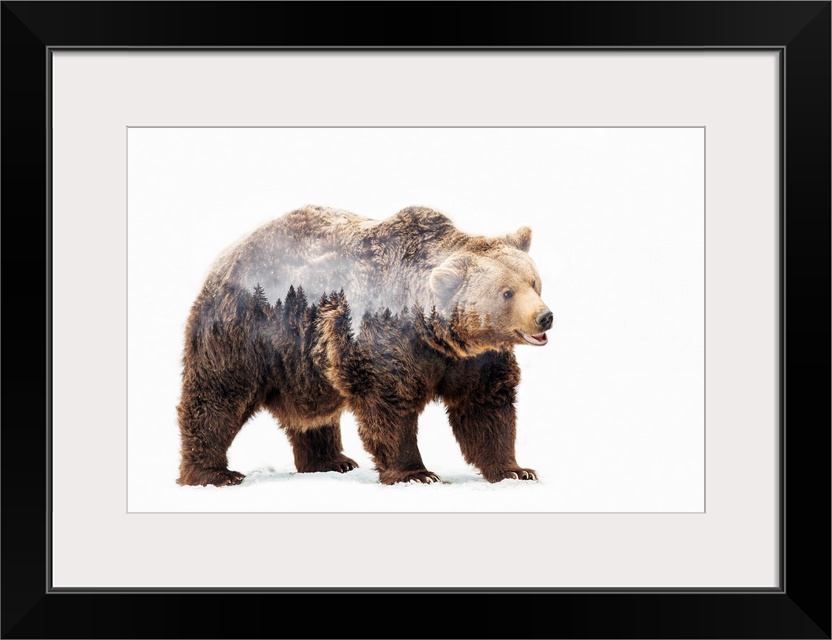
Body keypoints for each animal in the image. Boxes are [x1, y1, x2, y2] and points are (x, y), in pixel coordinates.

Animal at [176, 205, 553, 486]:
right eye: (506, 292)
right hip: (245, 330)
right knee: (218, 396)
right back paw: (213, 473)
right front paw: (417, 473)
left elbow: (485, 406)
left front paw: (515, 469)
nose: (544, 317)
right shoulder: (384, 338)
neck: (436, 334)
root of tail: (226, 256)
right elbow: (388, 404)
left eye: (534, 282)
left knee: (312, 415)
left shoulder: (474, 360)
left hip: (302, 361)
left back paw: (331, 460)